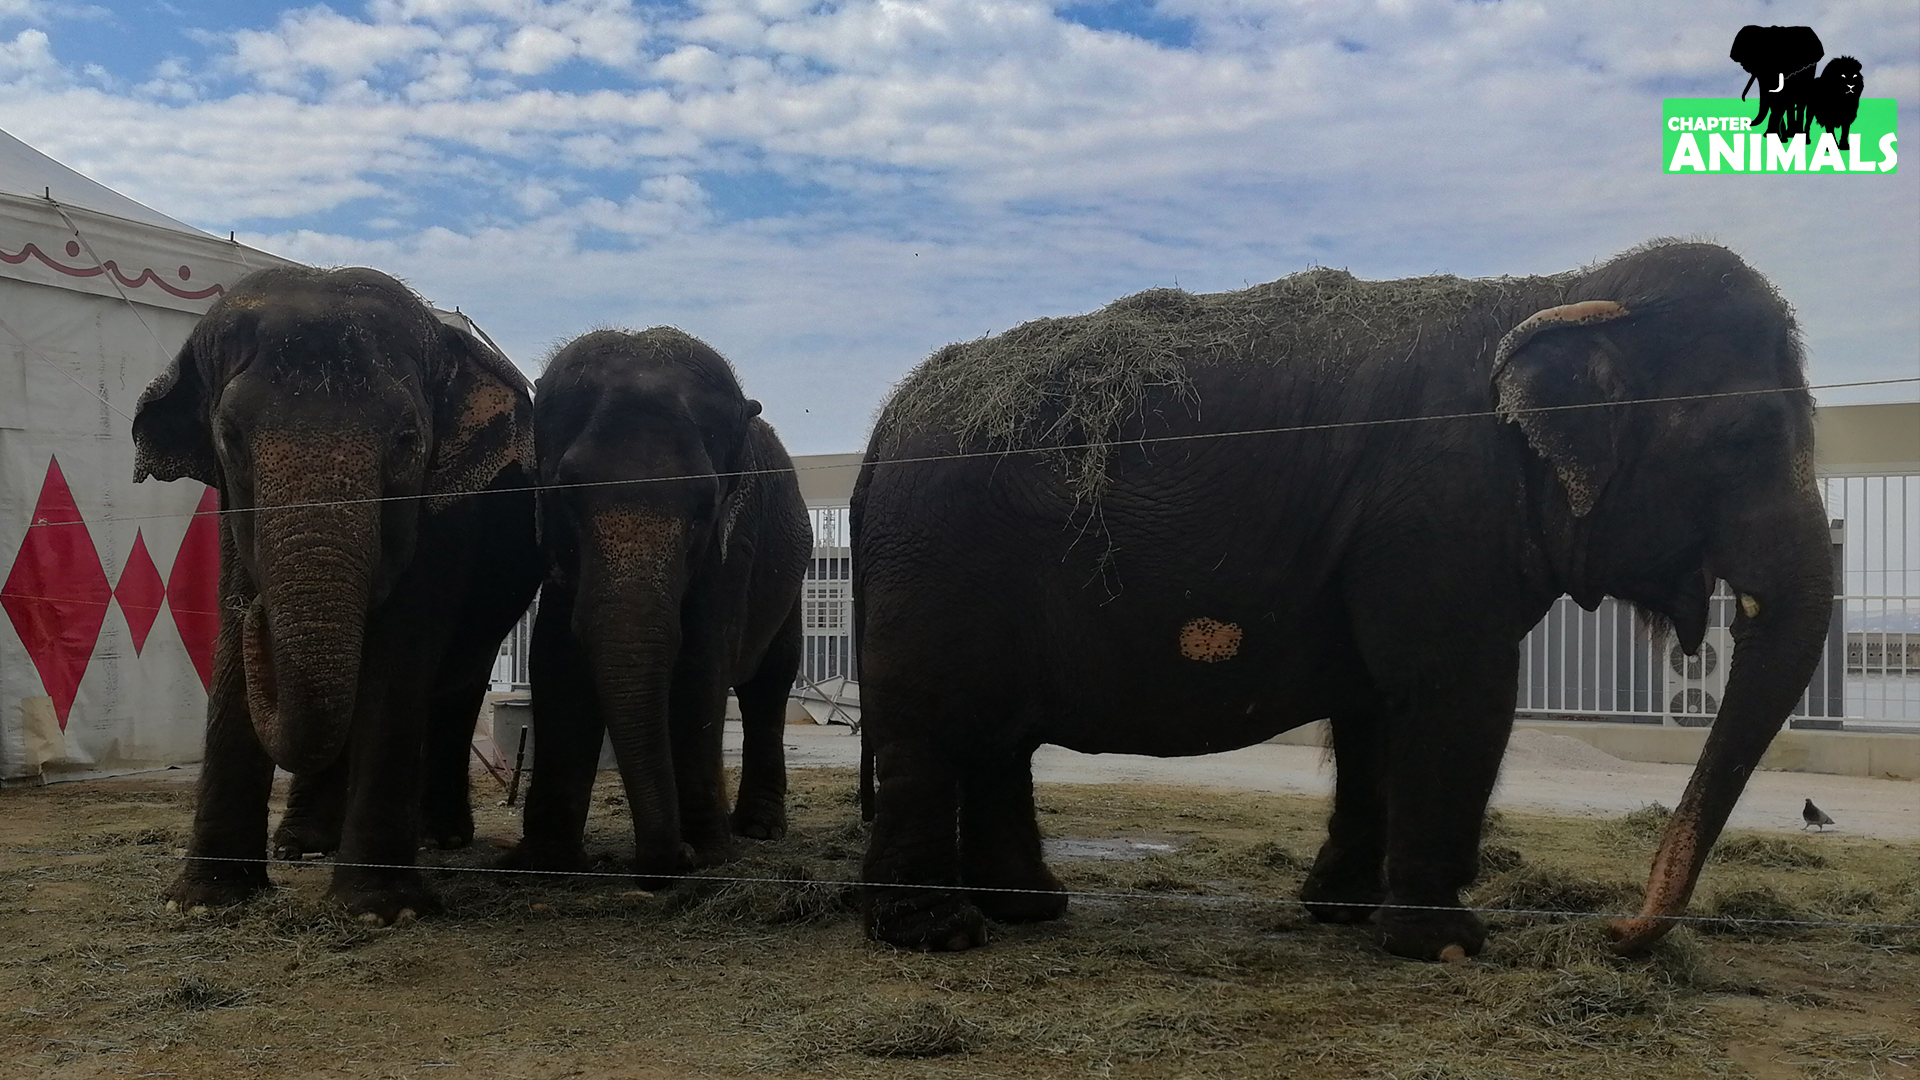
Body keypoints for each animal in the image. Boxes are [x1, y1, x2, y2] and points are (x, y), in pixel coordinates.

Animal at [134, 265, 541, 922]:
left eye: (407, 441)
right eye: (230, 438)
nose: (259, 613)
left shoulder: (443, 519)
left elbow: (398, 652)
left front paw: (378, 910)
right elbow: (232, 655)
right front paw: (203, 902)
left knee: (457, 683)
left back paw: (440, 838)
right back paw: (302, 846)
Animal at [499, 326, 806, 876]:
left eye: (706, 504)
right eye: (566, 494)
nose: (675, 856)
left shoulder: (735, 543)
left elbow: (702, 661)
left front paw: (709, 854)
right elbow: (556, 660)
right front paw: (544, 860)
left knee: (770, 684)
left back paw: (758, 829)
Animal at [856, 242, 1827, 957]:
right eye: (1746, 438)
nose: (1616, 931)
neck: (1561, 290)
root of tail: (882, 424)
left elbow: (1376, 711)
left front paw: (1342, 913)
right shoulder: (1438, 511)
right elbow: (1457, 696)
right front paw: (1447, 947)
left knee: (997, 740)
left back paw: (1030, 910)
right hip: (933, 571)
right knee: (929, 731)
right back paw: (937, 934)